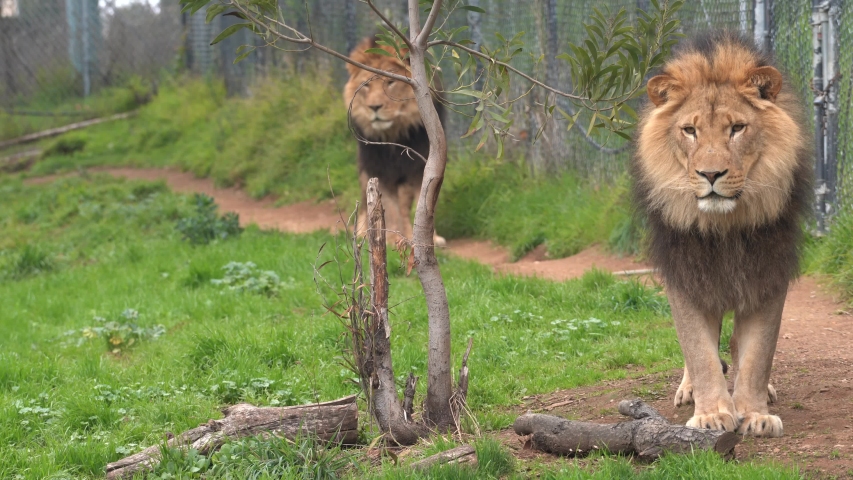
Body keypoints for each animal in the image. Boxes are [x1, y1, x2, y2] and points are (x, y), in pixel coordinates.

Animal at [344, 37, 446, 246]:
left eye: (390, 82)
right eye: (366, 85)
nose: (374, 107)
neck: (394, 136)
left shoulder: (421, 169)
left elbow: (422, 207)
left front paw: (428, 239)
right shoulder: (379, 171)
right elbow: (388, 207)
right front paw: (390, 238)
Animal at [632, 31, 812, 437]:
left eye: (737, 128)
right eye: (690, 130)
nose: (711, 174)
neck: (725, 227)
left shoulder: (767, 273)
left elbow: (758, 353)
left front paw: (755, 413)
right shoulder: (686, 275)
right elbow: (699, 351)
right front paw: (712, 413)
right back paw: (689, 391)